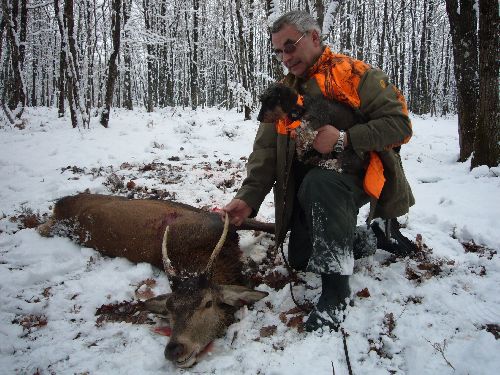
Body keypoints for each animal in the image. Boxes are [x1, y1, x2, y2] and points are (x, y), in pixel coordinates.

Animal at [38, 195, 274, 368]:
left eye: (208, 303)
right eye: (169, 309)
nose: (175, 349)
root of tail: (58, 208)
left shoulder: (220, 219)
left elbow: (267, 224)